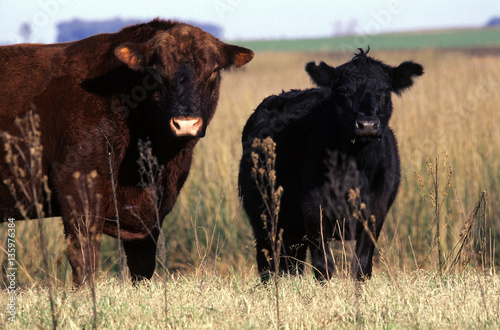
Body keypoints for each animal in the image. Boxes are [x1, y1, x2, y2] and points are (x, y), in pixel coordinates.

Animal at [238, 49, 422, 282]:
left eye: (386, 90)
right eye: (342, 91)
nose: (367, 125)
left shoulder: (376, 213)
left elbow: (362, 266)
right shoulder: (313, 212)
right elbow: (323, 265)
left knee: (293, 265)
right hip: (264, 217)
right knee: (268, 263)